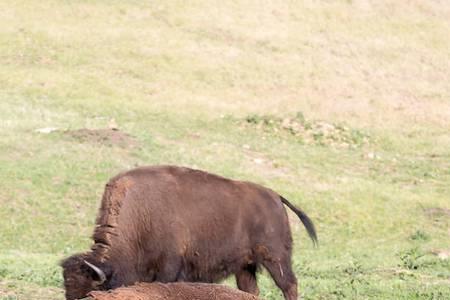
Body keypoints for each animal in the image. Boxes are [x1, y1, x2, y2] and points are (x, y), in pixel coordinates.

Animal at [62, 165, 316, 300]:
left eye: (88, 294)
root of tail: (275, 197)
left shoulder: (169, 268)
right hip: (245, 267)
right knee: (252, 290)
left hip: (275, 259)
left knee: (289, 285)